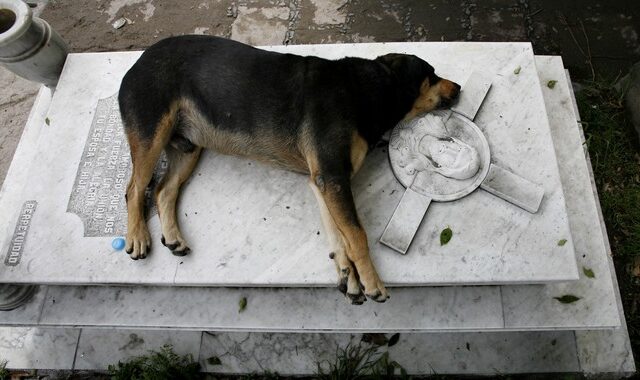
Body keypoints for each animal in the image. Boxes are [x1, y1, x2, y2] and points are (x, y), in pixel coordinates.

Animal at [119, 35, 460, 302]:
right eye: (431, 74)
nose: (458, 87)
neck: (364, 90)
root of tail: (137, 61)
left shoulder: (323, 180)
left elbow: (339, 235)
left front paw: (348, 276)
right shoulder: (333, 178)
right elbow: (356, 233)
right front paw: (371, 281)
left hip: (188, 147)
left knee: (163, 190)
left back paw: (173, 237)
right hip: (151, 133)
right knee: (134, 187)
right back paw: (137, 236)